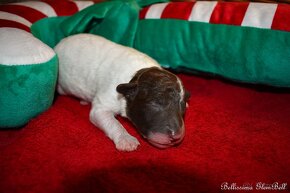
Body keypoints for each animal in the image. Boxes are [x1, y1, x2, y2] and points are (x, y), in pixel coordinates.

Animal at [54, 34, 190, 152]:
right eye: (155, 103)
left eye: (182, 105)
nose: (175, 136)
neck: (135, 75)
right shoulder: (105, 101)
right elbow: (112, 122)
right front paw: (126, 140)